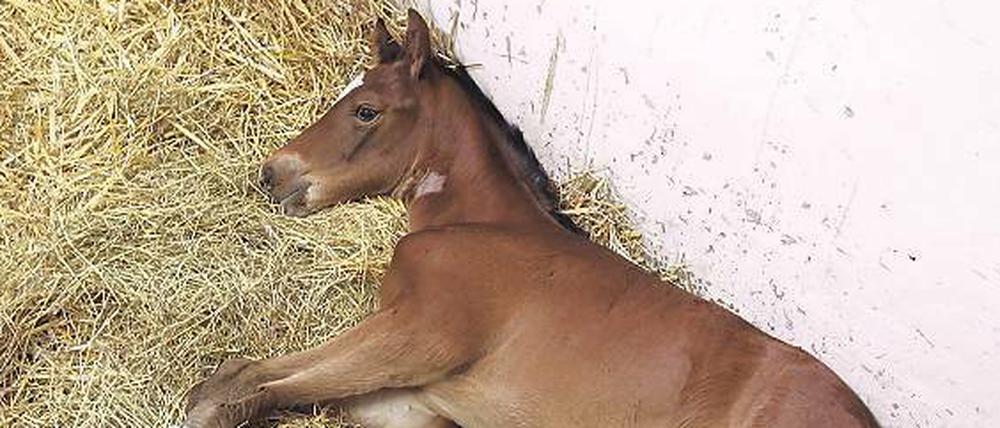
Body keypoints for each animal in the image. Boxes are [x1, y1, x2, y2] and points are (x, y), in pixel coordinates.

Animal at [182, 10, 878, 428]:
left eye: (366, 111)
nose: (274, 173)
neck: (484, 226)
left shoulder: (424, 330)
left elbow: (247, 388)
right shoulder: (405, 401)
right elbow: (253, 378)